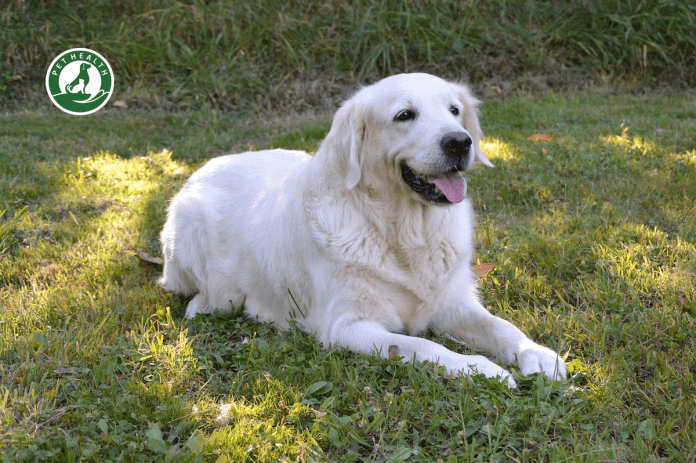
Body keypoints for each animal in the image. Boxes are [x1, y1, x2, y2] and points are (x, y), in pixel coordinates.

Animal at [160, 72, 568, 386]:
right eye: (405, 115)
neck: (404, 230)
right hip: (200, 249)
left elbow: (502, 327)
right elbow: (420, 345)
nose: (459, 141)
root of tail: (201, 168)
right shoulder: (347, 326)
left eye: (454, 111)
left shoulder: (452, 303)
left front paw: (537, 354)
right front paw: (482, 369)